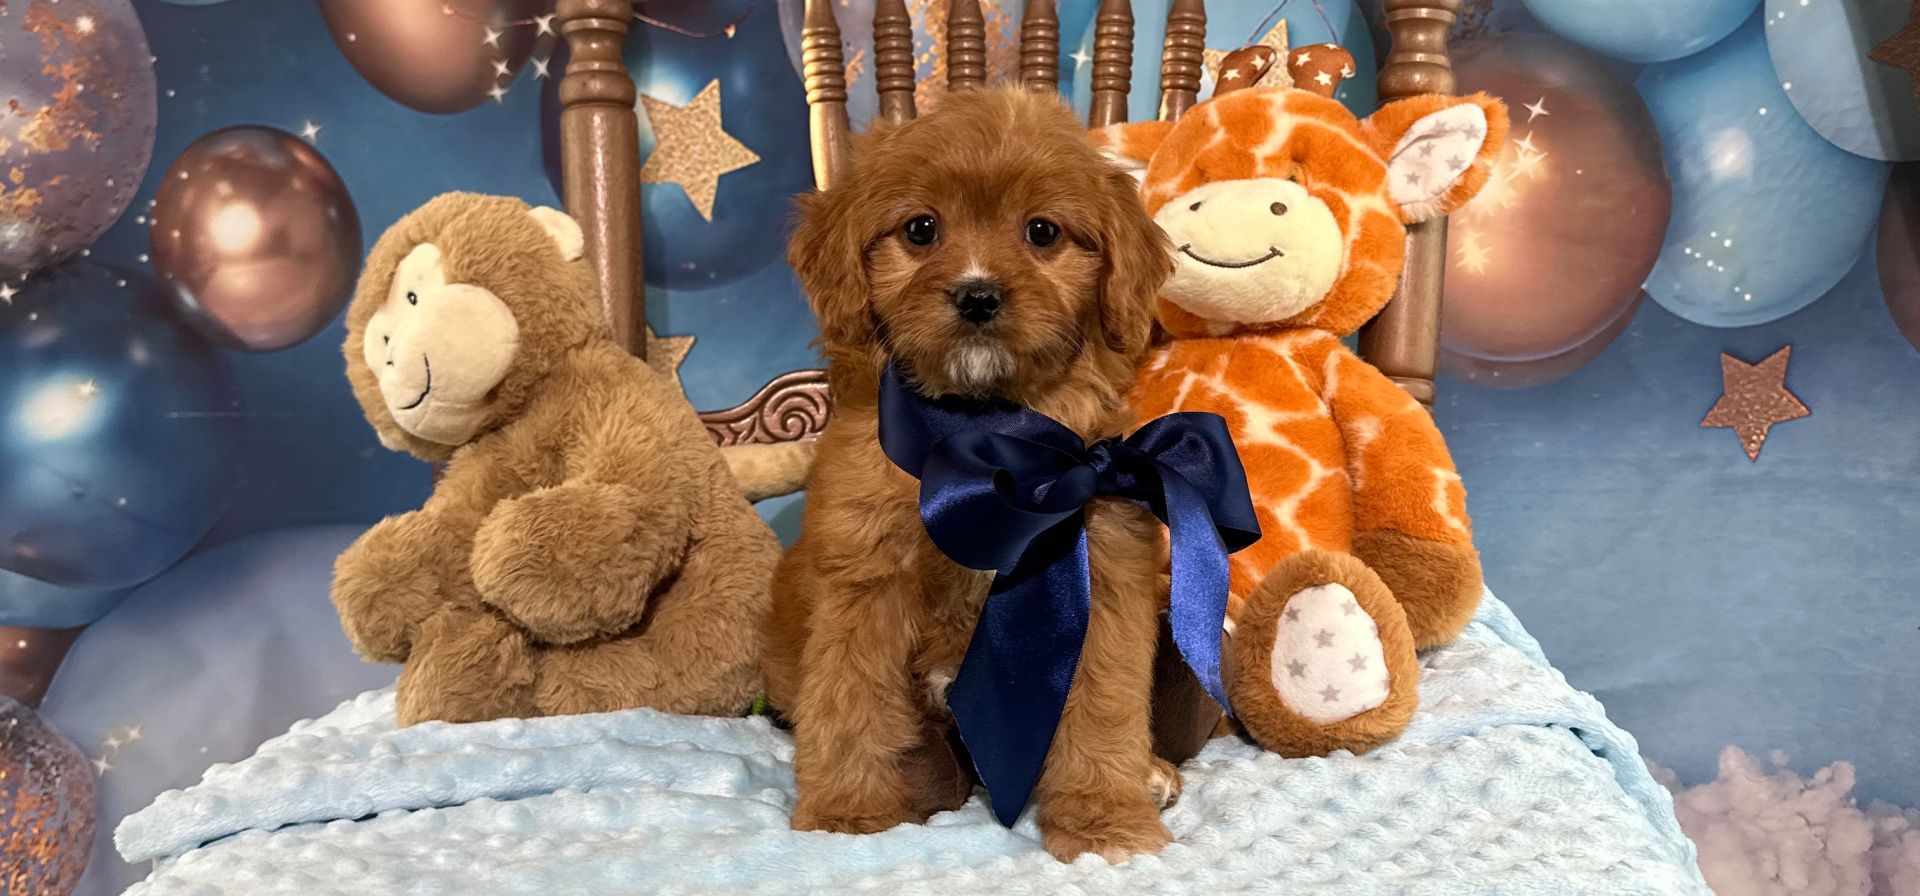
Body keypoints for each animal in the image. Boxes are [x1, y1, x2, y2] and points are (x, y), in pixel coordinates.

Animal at [764, 87, 1182, 863]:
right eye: (921, 229)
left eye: (1042, 232)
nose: (978, 295)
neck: (985, 443)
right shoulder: (863, 583)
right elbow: (850, 705)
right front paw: (846, 815)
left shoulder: (1101, 579)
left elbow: (1102, 709)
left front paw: (1106, 819)